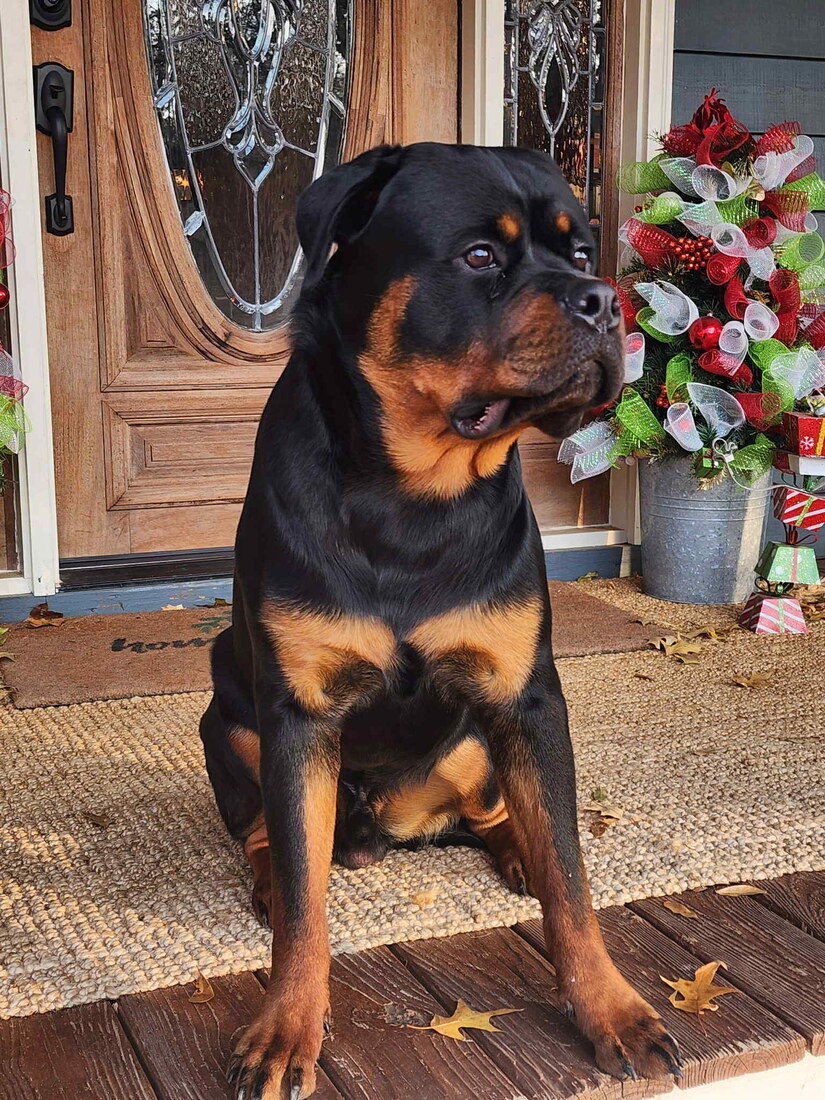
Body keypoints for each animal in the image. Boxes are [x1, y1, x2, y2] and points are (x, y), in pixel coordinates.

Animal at [201, 142, 681, 1100]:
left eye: (579, 252)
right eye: (480, 256)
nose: (604, 299)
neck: (412, 496)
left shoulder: (527, 698)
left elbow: (571, 880)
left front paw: (610, 1007)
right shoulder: (296, 712)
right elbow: (305, 912)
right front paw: (285, 1028)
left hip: (472, 741)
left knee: (501, 815)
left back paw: (513, 849)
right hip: (226, 713)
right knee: (269, 838)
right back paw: (271, 874)